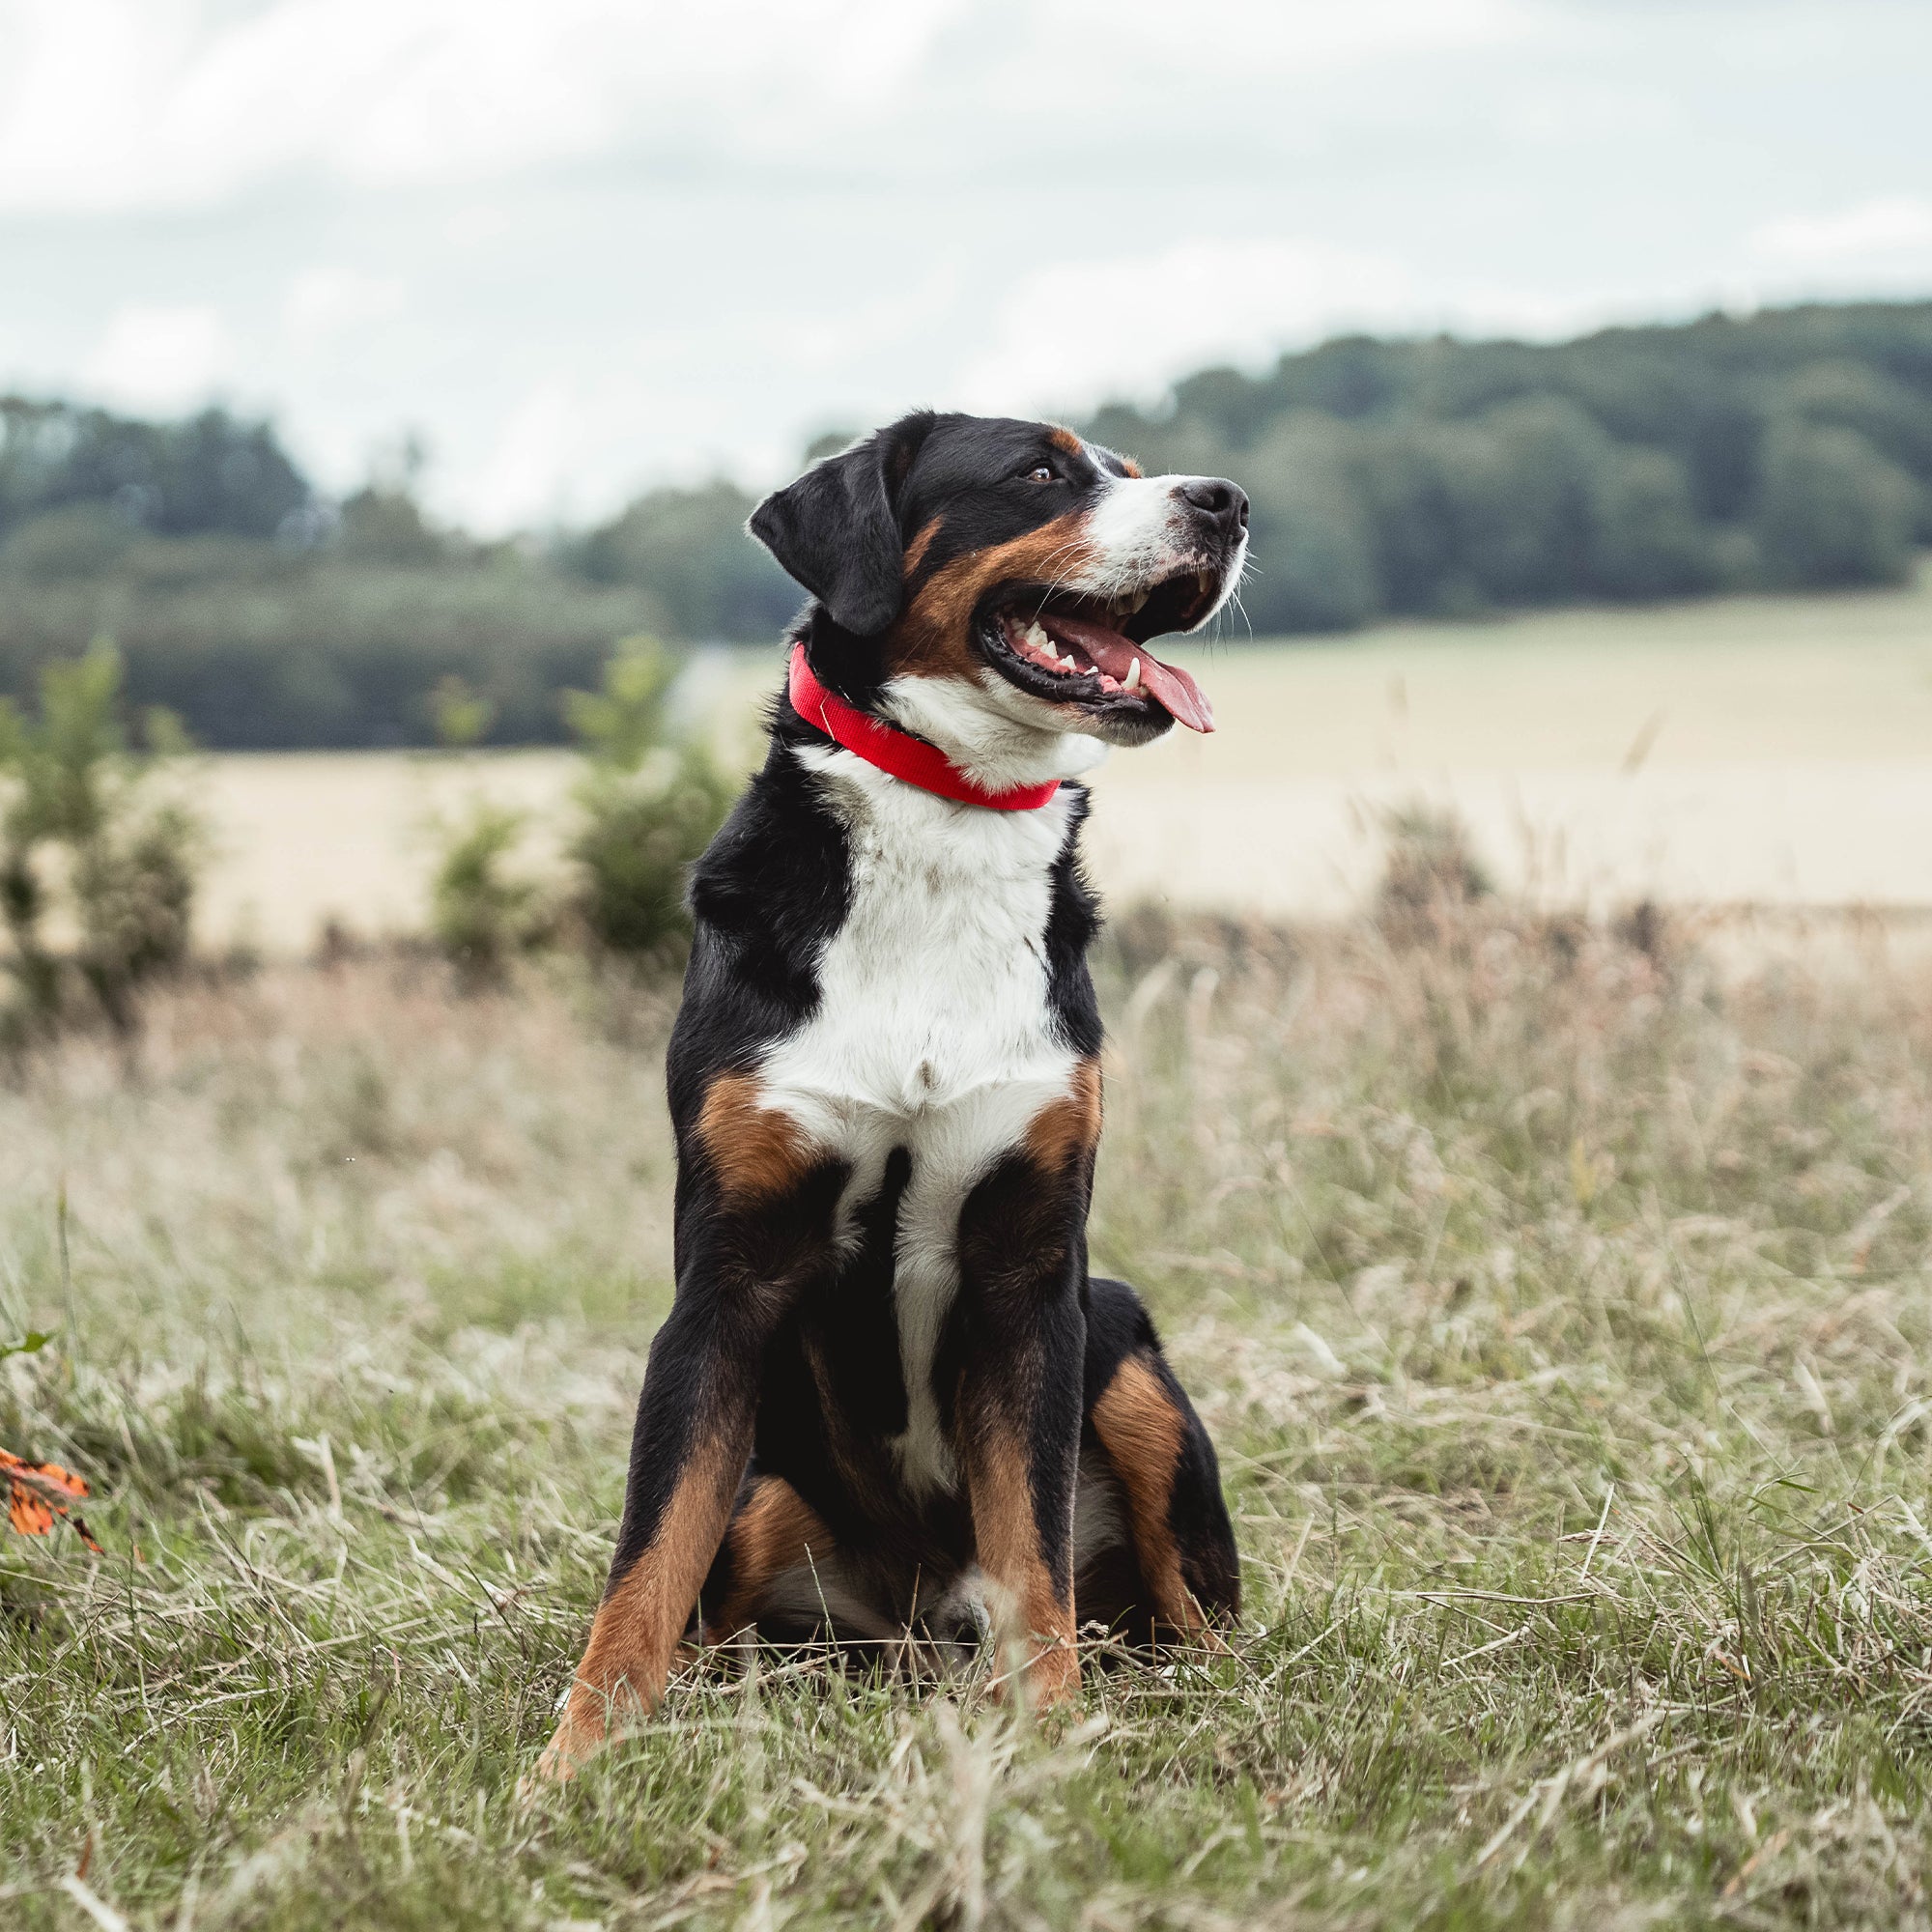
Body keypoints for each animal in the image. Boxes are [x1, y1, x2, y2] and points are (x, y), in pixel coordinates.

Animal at [537, 408, 1244, 1777]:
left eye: (1133, 472)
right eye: (1041, 470)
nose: (1228, 500)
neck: (945, 824)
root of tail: (924, 1619)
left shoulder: (1032, 1270)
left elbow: (1032, 1556)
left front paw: (1047, 1737)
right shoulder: (726, 1278)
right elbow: (646, 1556)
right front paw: (578, 1758)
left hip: (1125, 1346)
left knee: (1177, 1613)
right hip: (768, 1497)